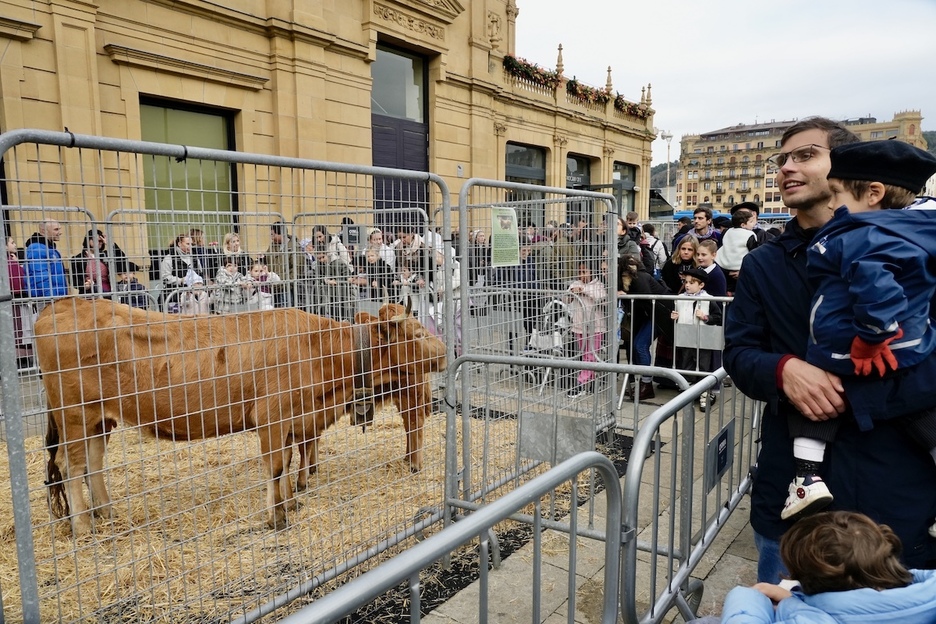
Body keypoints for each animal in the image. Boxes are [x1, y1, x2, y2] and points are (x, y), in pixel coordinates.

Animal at [36, 298, 446, 536]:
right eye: (418, 332)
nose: (445, 352)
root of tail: (63, 303)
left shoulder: (293, 419)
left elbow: (290, 460)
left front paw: (289, 502)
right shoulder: (271, 416)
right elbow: (276, 467)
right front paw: (277, 516)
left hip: (98, 419)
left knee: (92, 461)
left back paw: (105, 511)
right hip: (74, 415)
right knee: (71, 466)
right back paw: (83, 525)